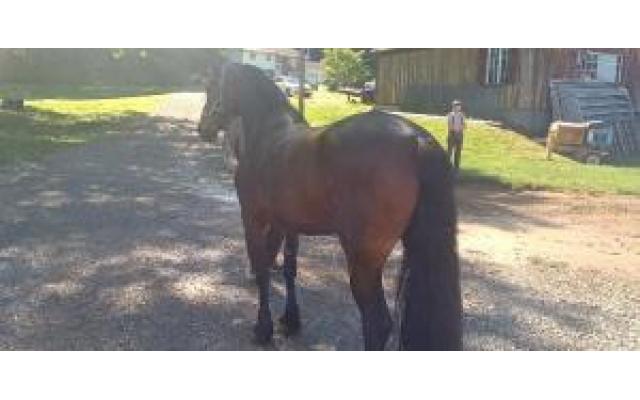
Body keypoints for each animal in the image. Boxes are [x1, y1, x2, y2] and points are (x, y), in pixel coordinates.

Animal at [198, 61, 462, 350]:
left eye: (211, 86)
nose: (202, 128)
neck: (269, 134)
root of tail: (417, 140)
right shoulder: (288, 224)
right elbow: (289, 269)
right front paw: (290, 321)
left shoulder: (253, 219)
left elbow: (263, 270)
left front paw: (262, 329)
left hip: (363, 261)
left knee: (378, 322)